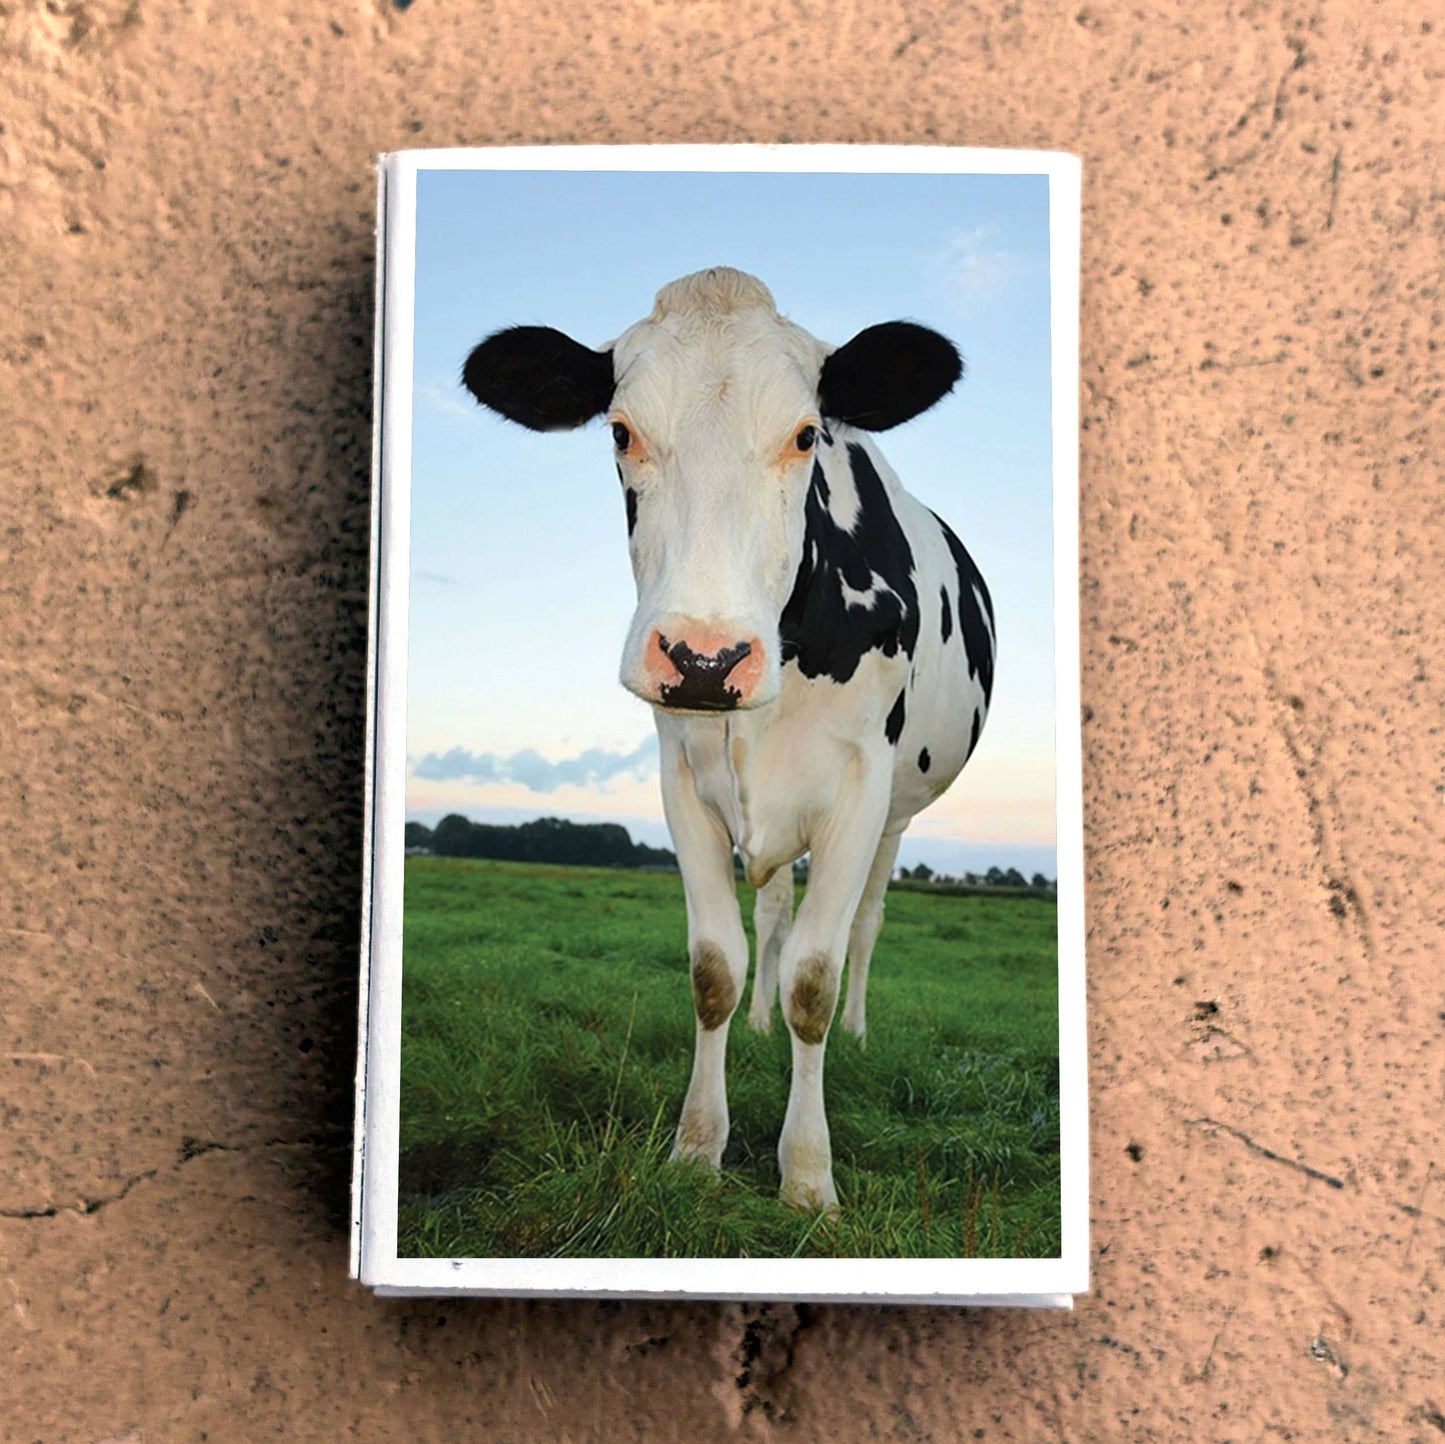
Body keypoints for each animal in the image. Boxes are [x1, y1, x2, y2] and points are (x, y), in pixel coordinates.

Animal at [462, 267, 995, 1212]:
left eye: (805, 434)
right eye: (621, 431)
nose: (705, 658)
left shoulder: (860, 787)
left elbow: (814, 977)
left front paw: (808, 1177)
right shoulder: (681, 773)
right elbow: (716, 965)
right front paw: (696, 1150)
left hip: (897, 815)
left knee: (864, 925)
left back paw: (859, 1033)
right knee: (773, 911)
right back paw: (757, 1026)